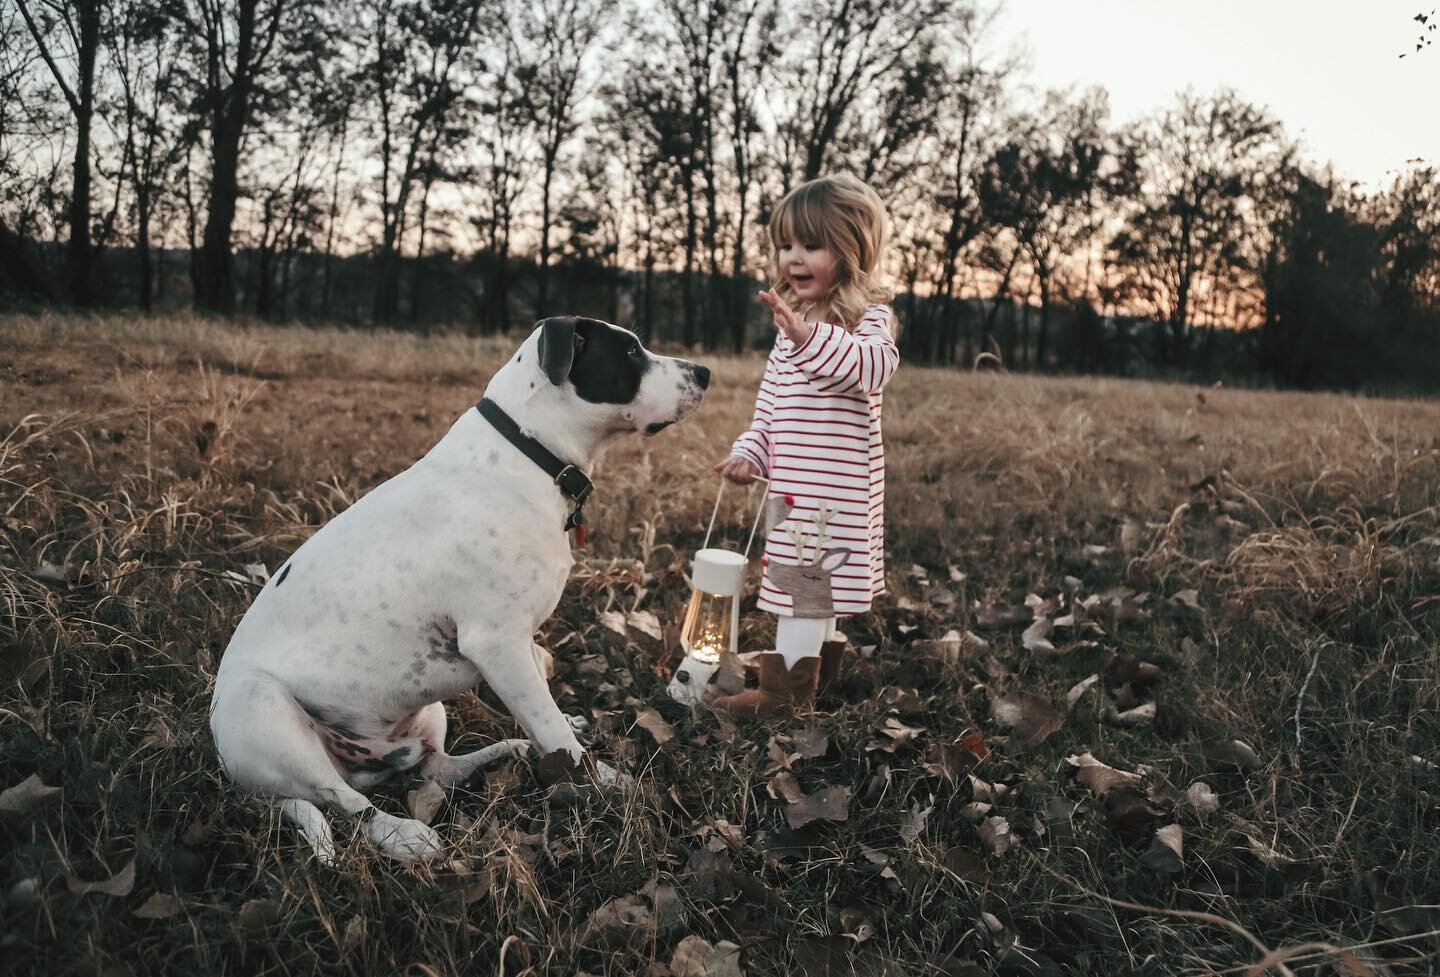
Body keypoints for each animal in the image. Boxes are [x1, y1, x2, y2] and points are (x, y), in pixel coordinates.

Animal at [208, 317, 708, 858]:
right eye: (631, 352)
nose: (704, 372)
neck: (527, 451)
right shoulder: (498, 643)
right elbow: (552, 728)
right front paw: (606, 783)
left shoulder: (520, 647)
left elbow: (544, 710)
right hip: (266, 709)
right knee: (348, 805)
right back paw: (403, 835)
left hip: (429, 714)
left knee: (439, 769)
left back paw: (506, 753)